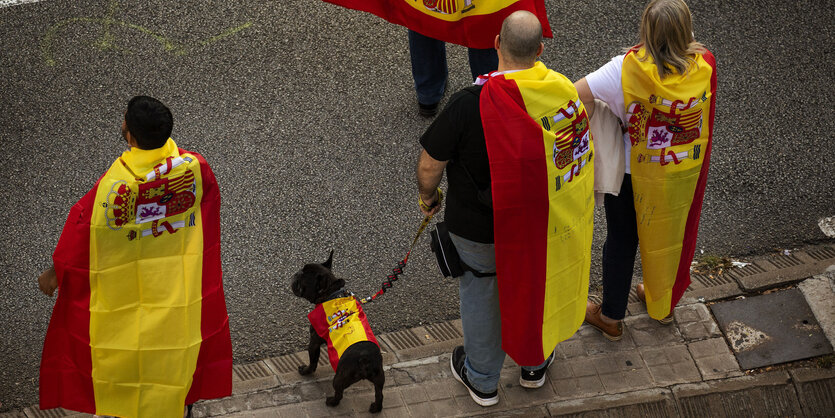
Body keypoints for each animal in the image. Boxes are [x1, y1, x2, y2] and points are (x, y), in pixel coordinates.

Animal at [290, 250, 386, 414]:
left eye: (302, 278)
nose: (296, 273)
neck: (331, 293)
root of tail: (365, 359)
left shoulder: (314, 341)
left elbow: (313, 361)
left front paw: (306, 371)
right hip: (380, 377)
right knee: (379, 393)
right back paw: (375, 407)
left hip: (340, 377)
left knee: (339, 393)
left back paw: (331, 402)